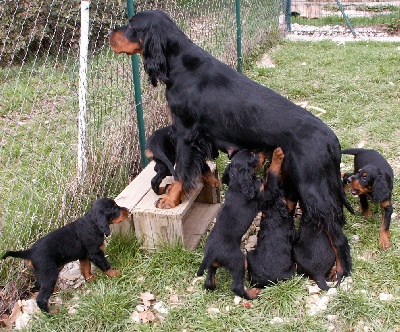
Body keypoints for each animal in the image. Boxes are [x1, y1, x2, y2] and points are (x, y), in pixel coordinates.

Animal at [108, 9, 354, 280]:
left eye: (132, 26)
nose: (109, 36)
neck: (182, 64)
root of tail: (332, 140)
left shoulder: (185, 131)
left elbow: (182, 169)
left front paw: (171, 200)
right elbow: (199, 167)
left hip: (312, 185)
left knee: (336, 232)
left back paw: (341, 270)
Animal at [197, 147, 284, 298]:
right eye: (252, 154)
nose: (262, 150)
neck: (237, 183)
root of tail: (211, 253)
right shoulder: (265, 194)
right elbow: (272, 174)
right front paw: (277, 155)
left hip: (213, 265)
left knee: (209, 282)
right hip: (238, 261)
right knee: (236, 287)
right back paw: (252, 294)